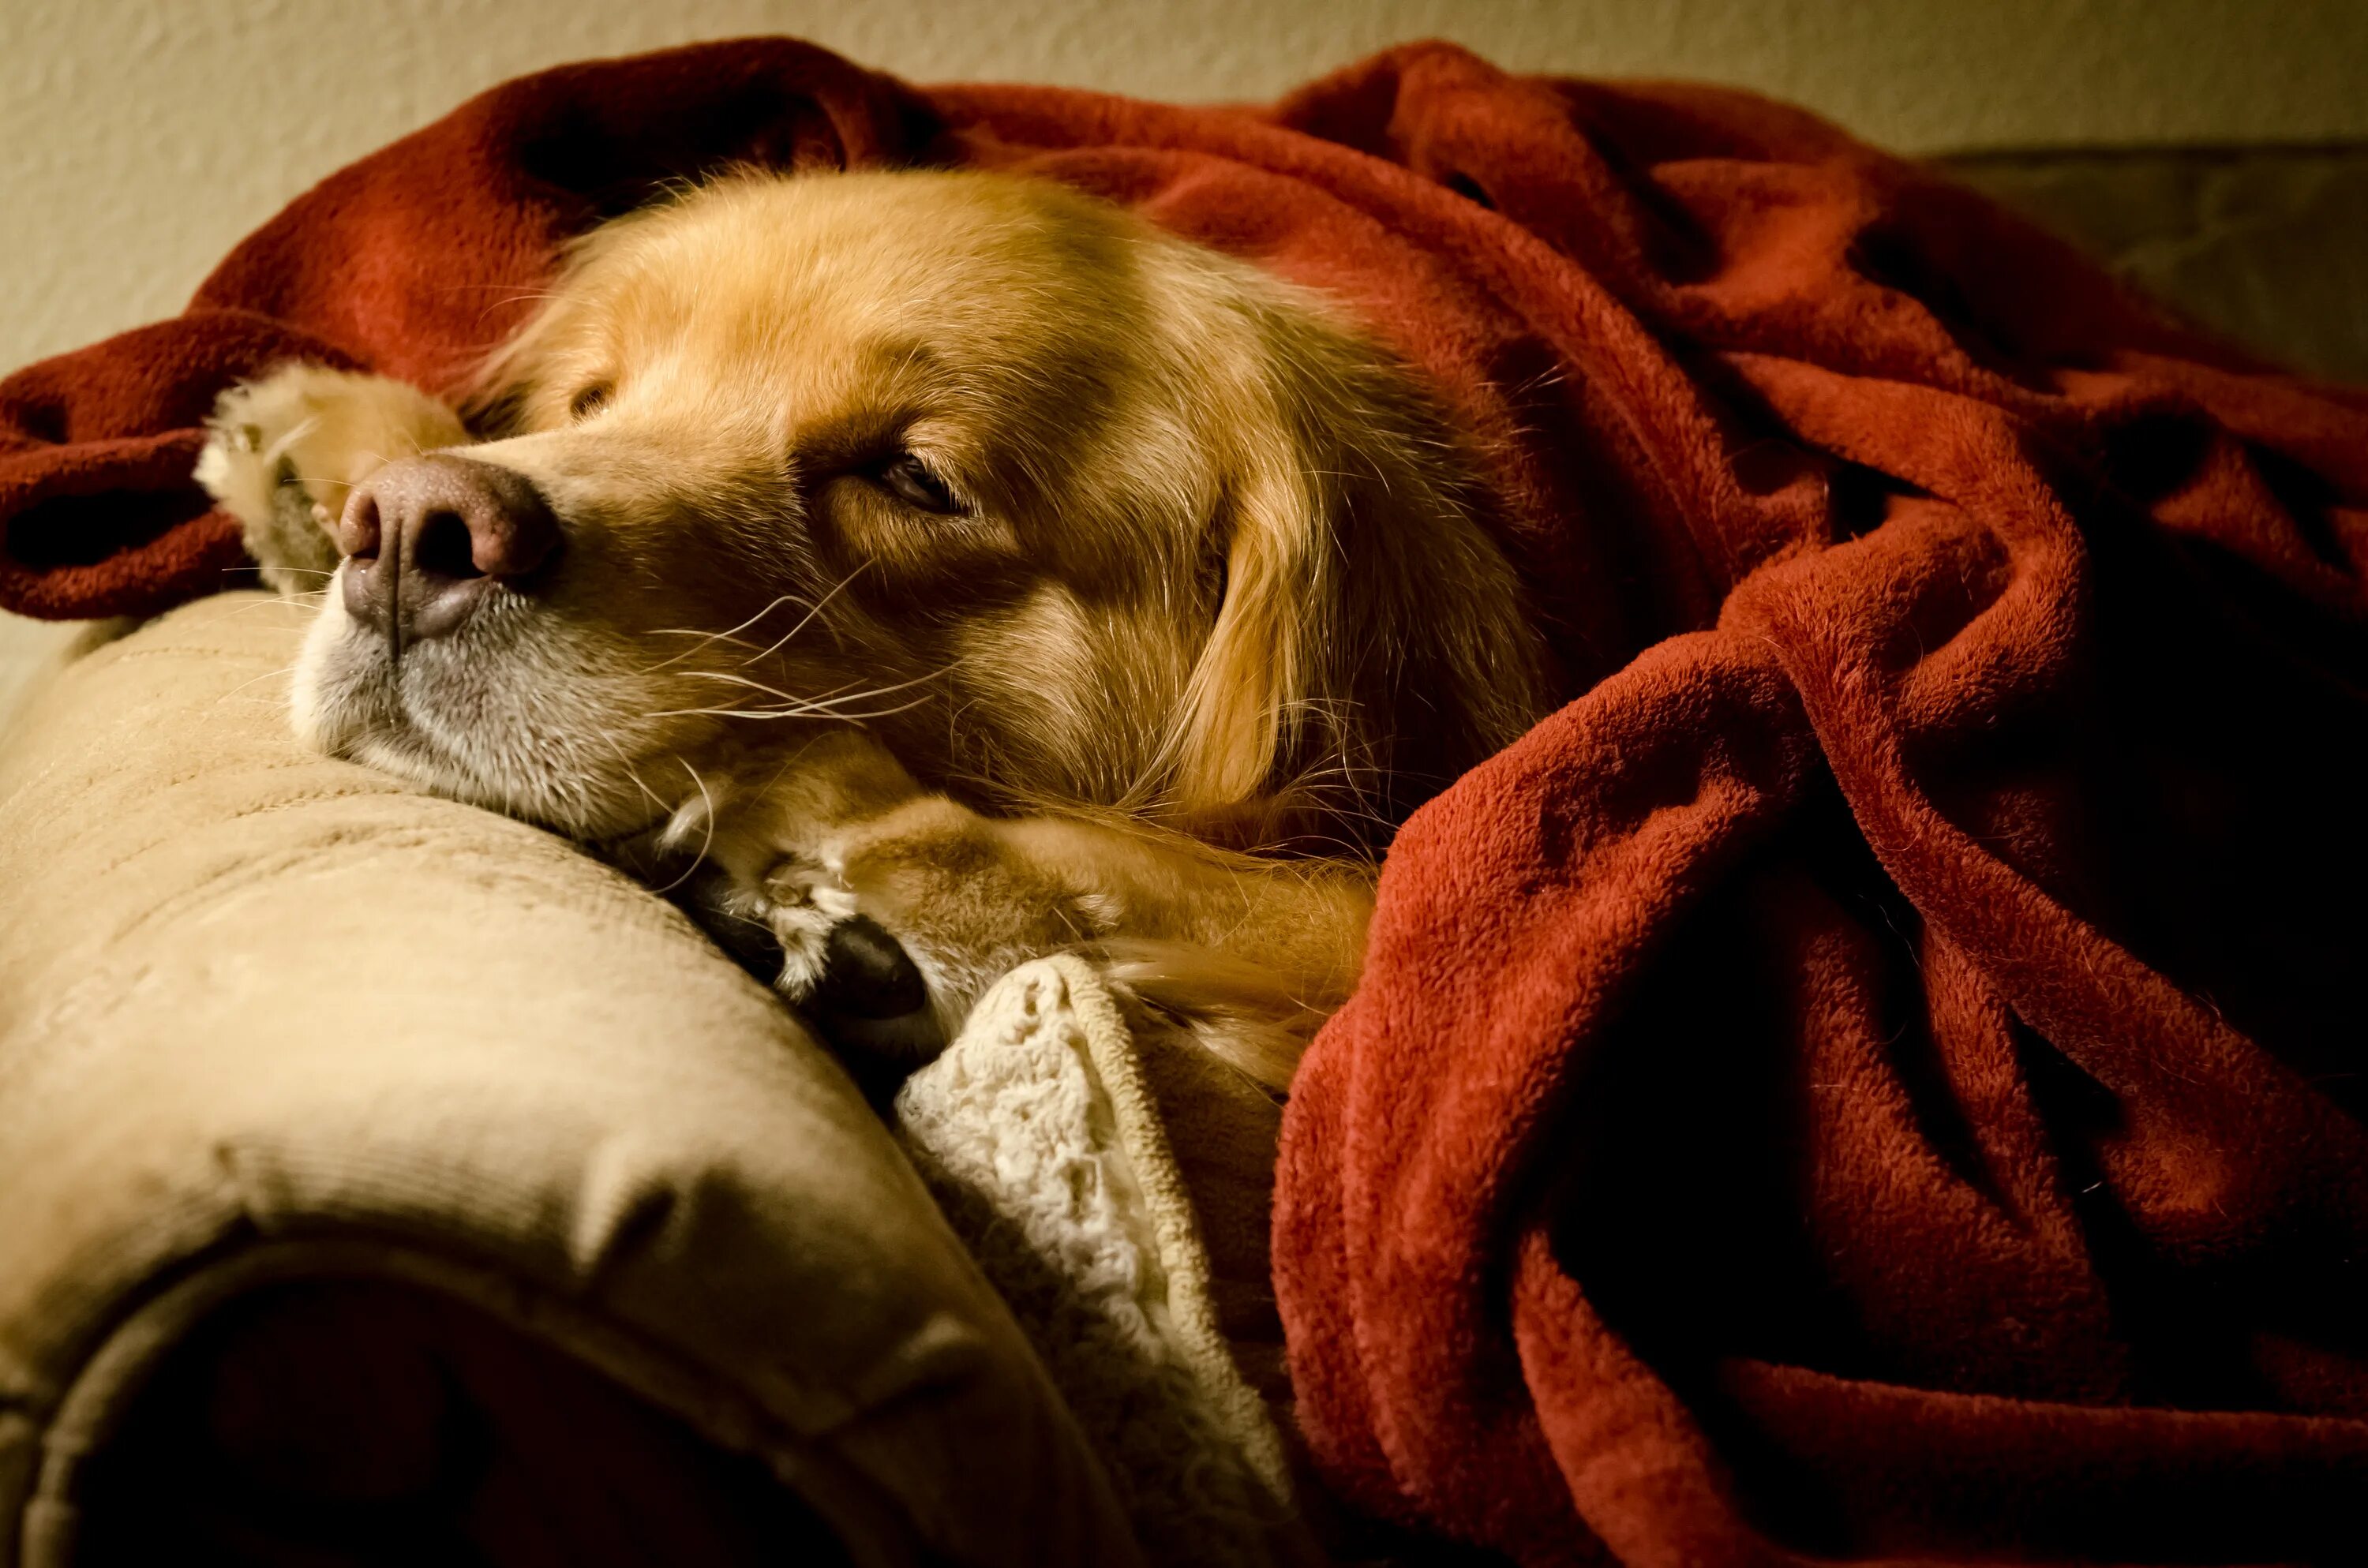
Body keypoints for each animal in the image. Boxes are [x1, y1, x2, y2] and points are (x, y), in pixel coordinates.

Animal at [189, 166, 1553, 1089]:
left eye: (913, 478)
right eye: (592, 398)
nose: (410, 532)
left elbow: (1343, 913)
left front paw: (872, 847)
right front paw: (340, 442)